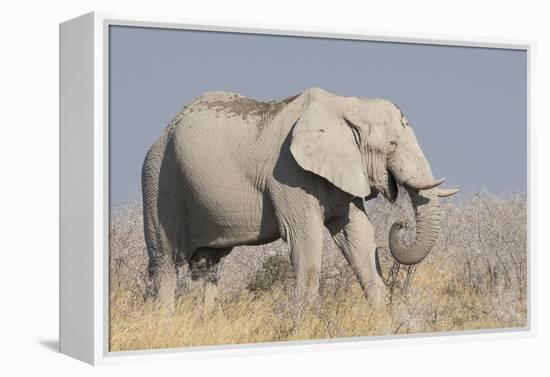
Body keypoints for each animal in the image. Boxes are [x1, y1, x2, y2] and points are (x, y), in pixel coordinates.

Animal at [142, 88, 462, 312]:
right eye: (392, 145)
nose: (400, 224)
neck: (347, 105)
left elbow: (358, 235)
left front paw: (384, 318)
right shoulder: (289, 172)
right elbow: (305, 237)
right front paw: (306, 323)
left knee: (207, 265)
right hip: (158, 180)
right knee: (166, 261)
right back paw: (165, 322)